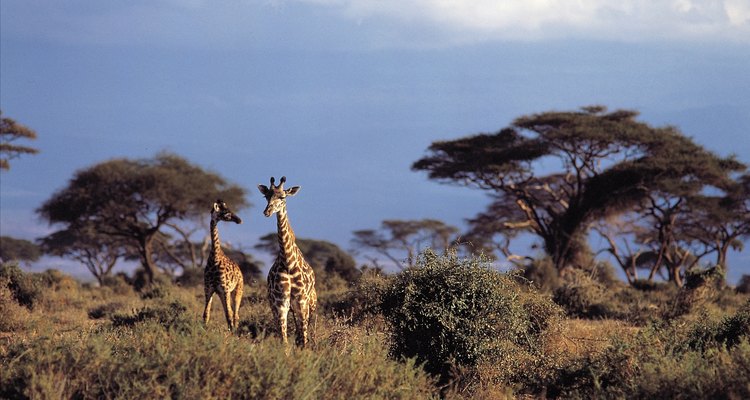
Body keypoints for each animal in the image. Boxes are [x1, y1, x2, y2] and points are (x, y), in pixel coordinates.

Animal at [203, 199, 244, 332]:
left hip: (237, 290)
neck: (214, 258)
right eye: (226, 213)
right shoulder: (209, 289)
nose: (239, 220)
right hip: (221, 293)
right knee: (230, 312)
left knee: (235, 313)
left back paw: (235, 329)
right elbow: (206, 314)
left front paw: (231, 332)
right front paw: (203, 330)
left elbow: (229, 315)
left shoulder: (225, 289)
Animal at [258, 175, 318, 346]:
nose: (267, 211)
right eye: (266, 196)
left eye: (282, 197)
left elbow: (304, 340)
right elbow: (284, 341)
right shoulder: (280, 305)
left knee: (305, 333)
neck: (288, 262)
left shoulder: (302, 304)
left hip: (311, 305)